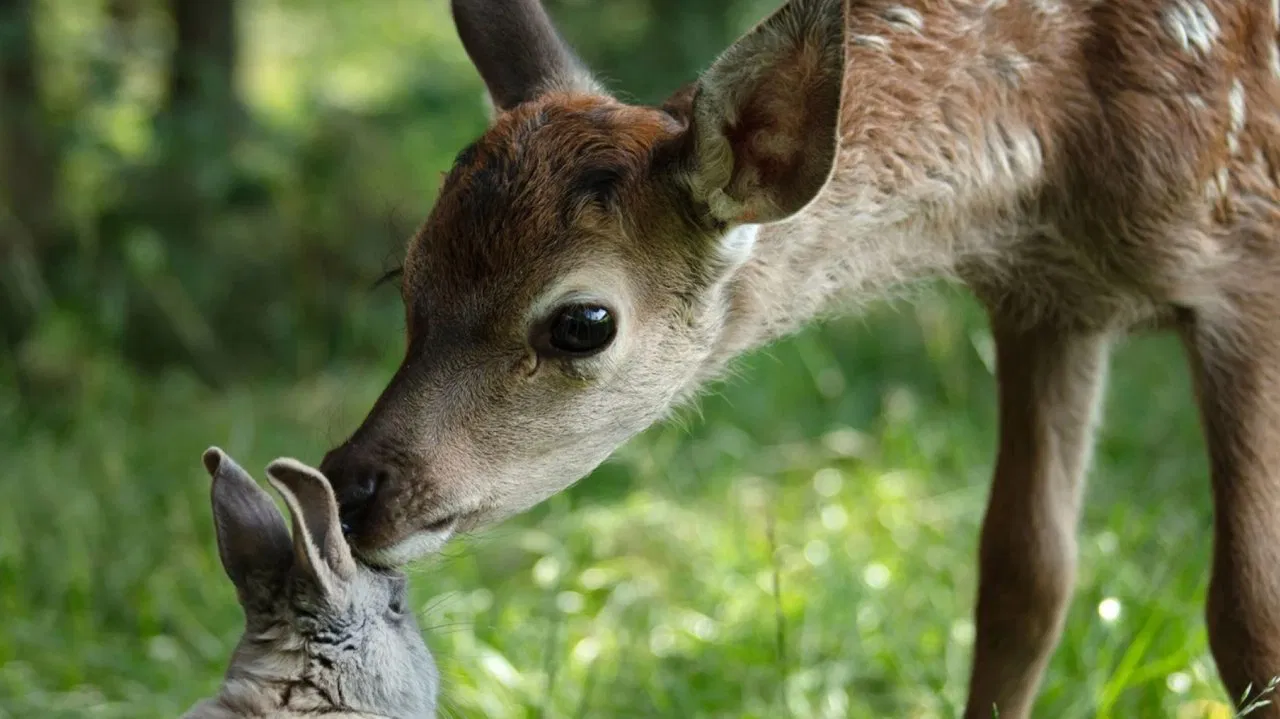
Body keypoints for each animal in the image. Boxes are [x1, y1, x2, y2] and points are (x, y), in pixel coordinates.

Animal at [315, 0, 1280, 715]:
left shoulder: (1244, 268)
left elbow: (1247, 613)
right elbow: (1024, 581)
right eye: (405, 275)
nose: (352, 487)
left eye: (583, 321)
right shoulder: (1048, 300)